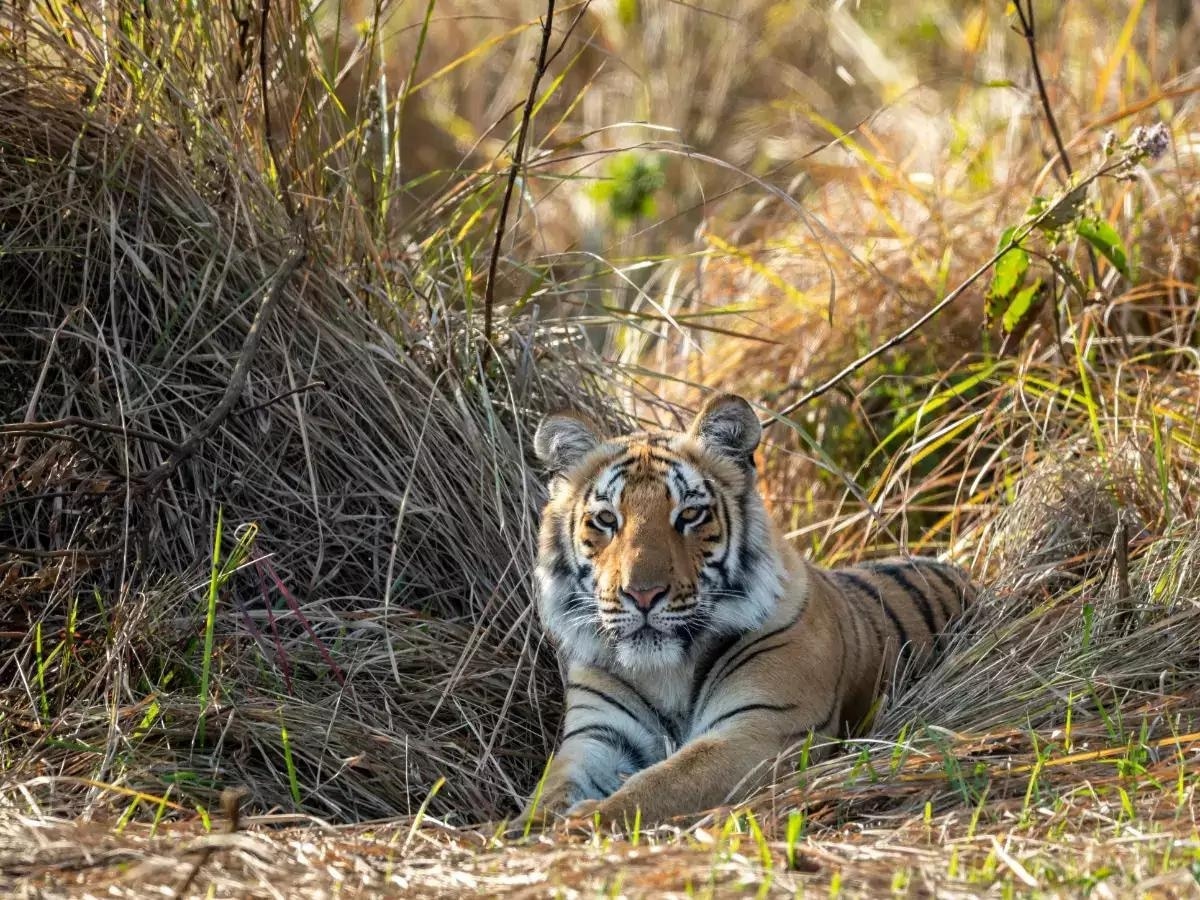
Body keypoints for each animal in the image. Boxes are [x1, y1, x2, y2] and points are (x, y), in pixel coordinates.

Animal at [518, 393, 974, 830]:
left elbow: (667, 781)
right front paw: (520, 830)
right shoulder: (596, 735)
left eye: (689, 514)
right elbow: (550, 792)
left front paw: (587, 820)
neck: (667, 672)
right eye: (606, 519)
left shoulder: (764, 728)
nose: (642, 594)